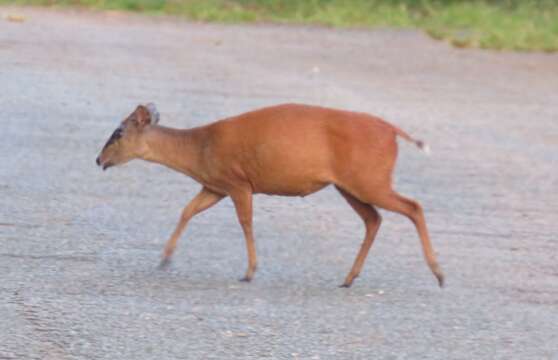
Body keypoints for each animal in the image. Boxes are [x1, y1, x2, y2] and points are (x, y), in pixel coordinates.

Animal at [97, 103, 446, 286]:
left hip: (369, 178)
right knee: (373, 219)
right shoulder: (215, 185)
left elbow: (245, 222)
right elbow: (187, 210)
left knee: (412, 206)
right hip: (349, 184)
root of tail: (392, 131)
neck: (200, 151)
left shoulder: (238, 181)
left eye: (118, 132)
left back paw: (438, 273)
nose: (98, 160)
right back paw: (349, 278)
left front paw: (250, 271)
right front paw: (165, 259)